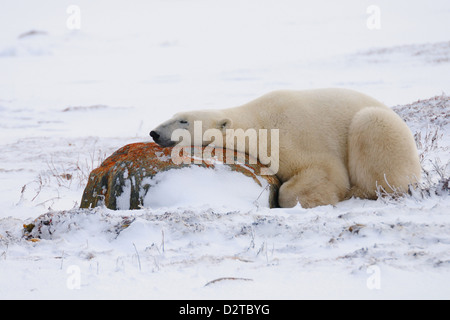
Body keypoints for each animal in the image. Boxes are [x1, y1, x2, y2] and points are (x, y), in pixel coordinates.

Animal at [151, 88, 422, 208]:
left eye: (183, 121)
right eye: (173, 116)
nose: (154, 133)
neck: (258, 122)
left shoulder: (294, 135)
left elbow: (325, 171)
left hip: (383, 130)